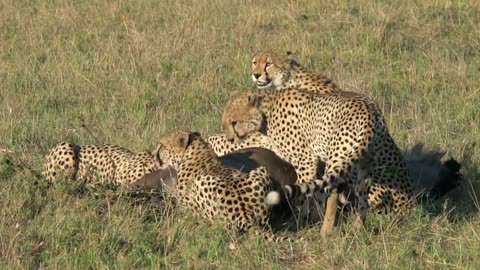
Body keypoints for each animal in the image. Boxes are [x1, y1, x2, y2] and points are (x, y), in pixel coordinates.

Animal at [155, 131, 288, 243]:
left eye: (161, 145)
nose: (154, 155)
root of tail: (245, 215)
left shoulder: (188, 206)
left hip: (201, 181)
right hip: (261, 171)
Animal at [222, 88, 416, 234]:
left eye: (234, 122)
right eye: (226, 123)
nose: (230, 139)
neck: (266, 111)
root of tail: (369, 112)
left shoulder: (305, 160)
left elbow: (304, 195)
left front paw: (298, 222)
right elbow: (314, 193)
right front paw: (312, 218)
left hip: (337, 157)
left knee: (333, 190)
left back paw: (326, 230)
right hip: (362, 167)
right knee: (362, 198)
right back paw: (357, 228)